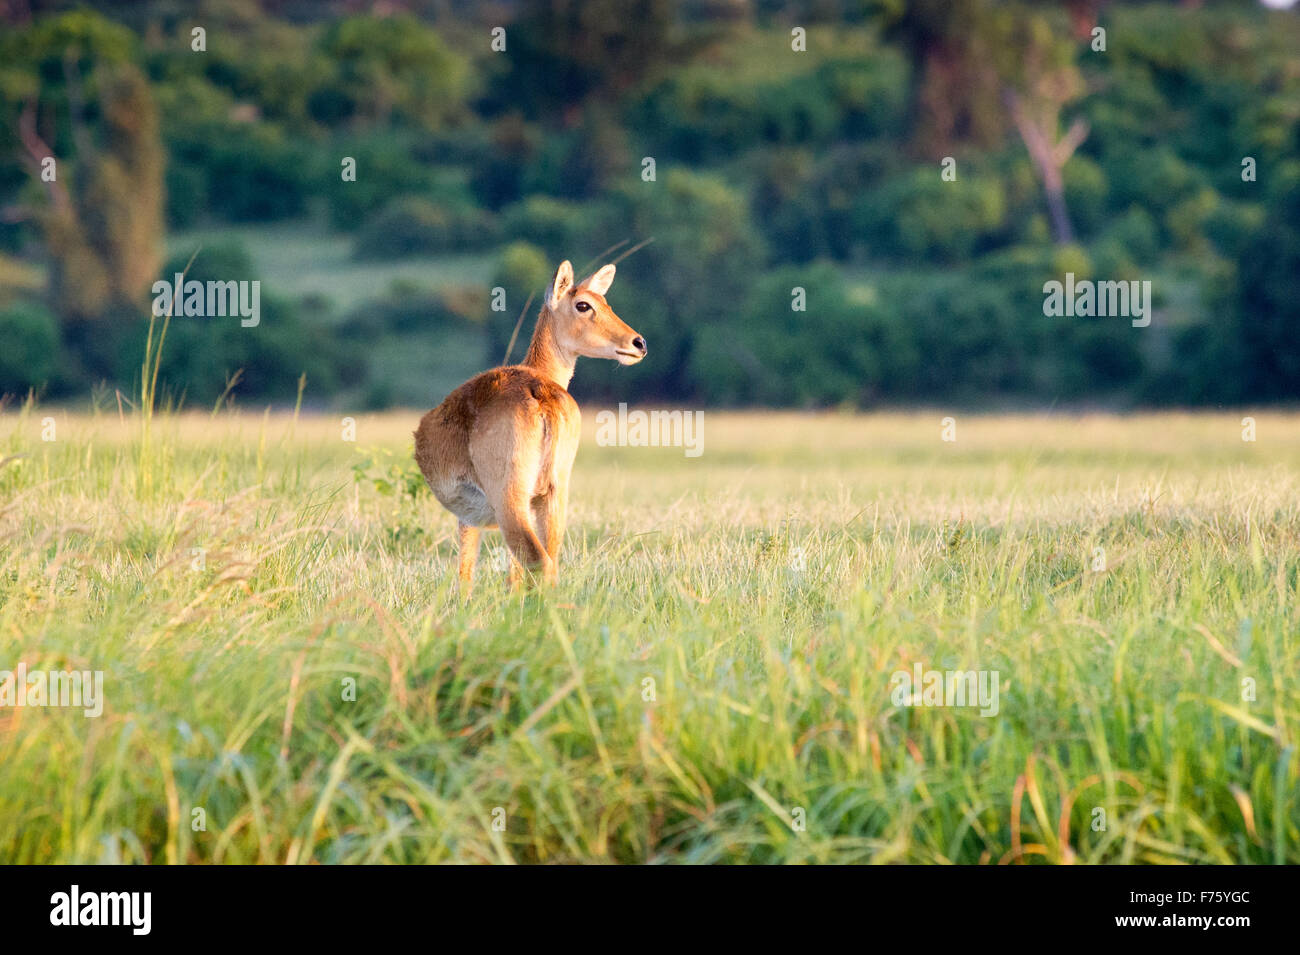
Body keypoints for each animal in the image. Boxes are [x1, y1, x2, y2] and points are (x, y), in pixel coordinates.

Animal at [416, 257, 644, 595]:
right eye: (584, 304)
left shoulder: (468, 518)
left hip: (512, 502)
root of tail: (540, 395)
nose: (638, 343)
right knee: (548, 563)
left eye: (605, 303)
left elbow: (466, 576)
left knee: (539, 563)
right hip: (551, 496)